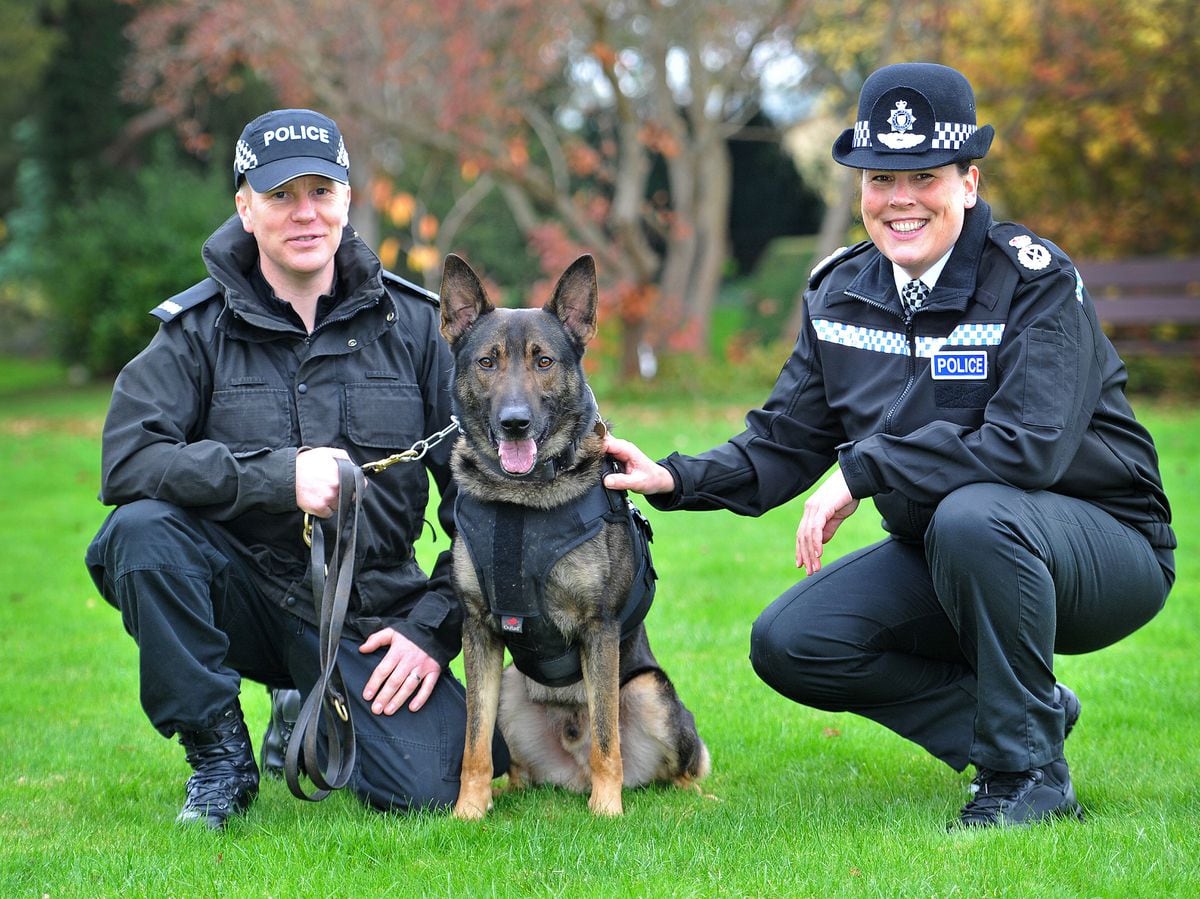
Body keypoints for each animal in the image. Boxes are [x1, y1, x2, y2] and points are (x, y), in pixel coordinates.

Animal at [444, 254, 710, 820]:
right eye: (487, 362)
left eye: (543, 361)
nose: (515, 423)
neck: (521, 502)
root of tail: (570, 772)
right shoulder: (479, 631)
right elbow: (474, 743)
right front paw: (468, 811)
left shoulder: (599, 629)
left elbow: (607, 741)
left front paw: (607, 811)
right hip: (510, 687)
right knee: (514, 765)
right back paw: (509, 791)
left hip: (651, 690)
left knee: (678, 767)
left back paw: (692, 797)